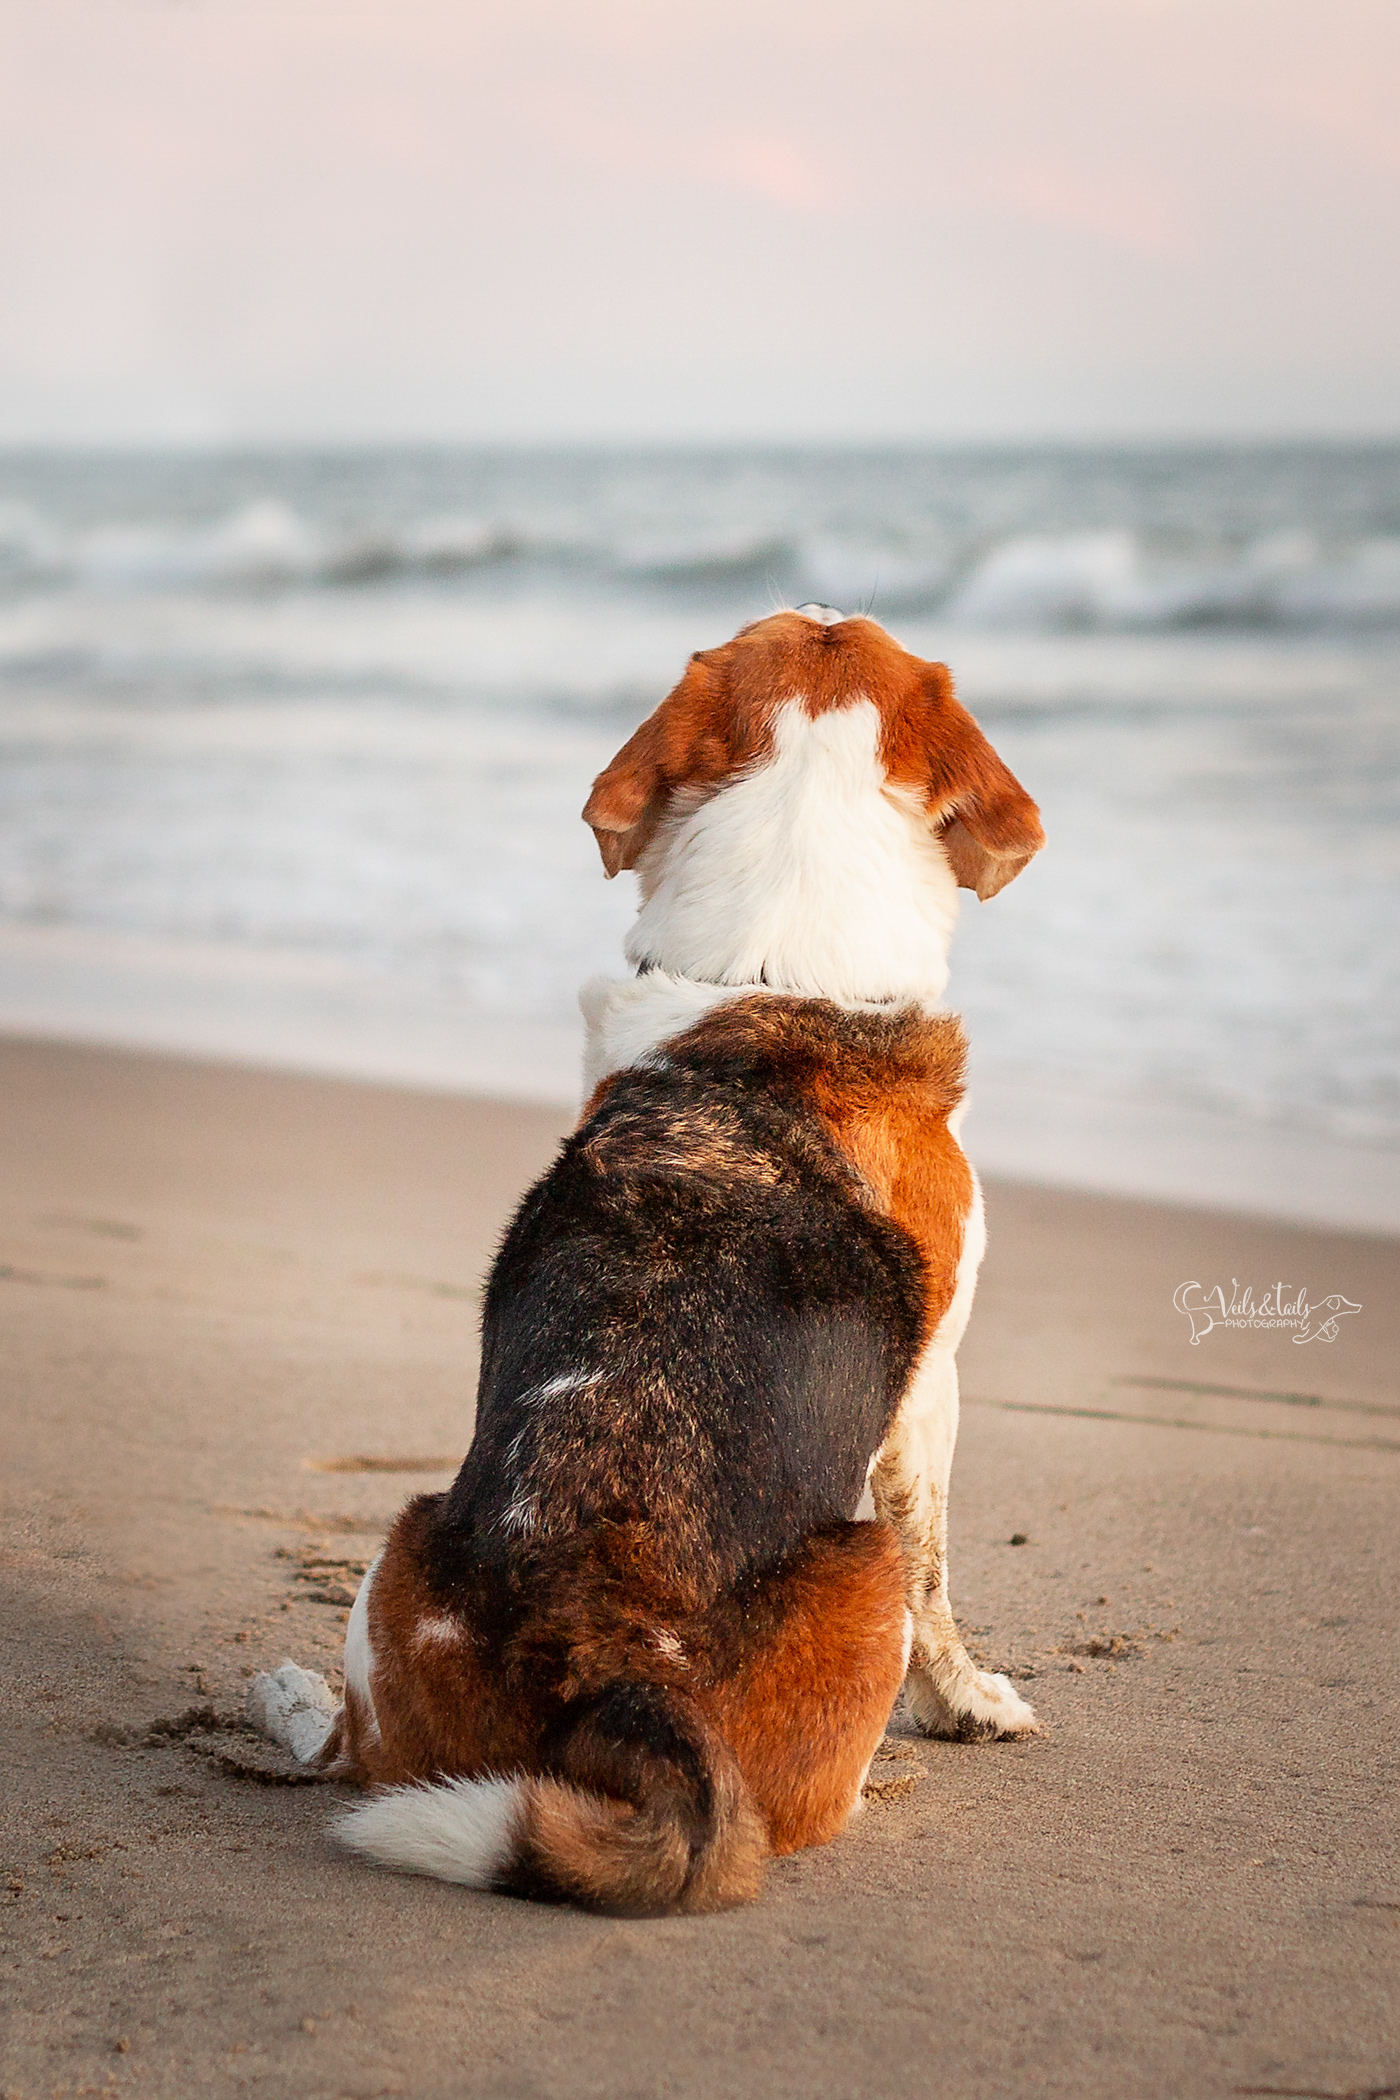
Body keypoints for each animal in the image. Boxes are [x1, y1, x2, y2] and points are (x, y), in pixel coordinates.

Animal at [248, 600, 1041, 1915]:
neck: (781, 968)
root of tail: (599, 1647)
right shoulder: (931, 1389)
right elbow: (941, 1589)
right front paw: (969, 1706)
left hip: (404, 1544)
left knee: (366, 1757)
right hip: (859, 1570)